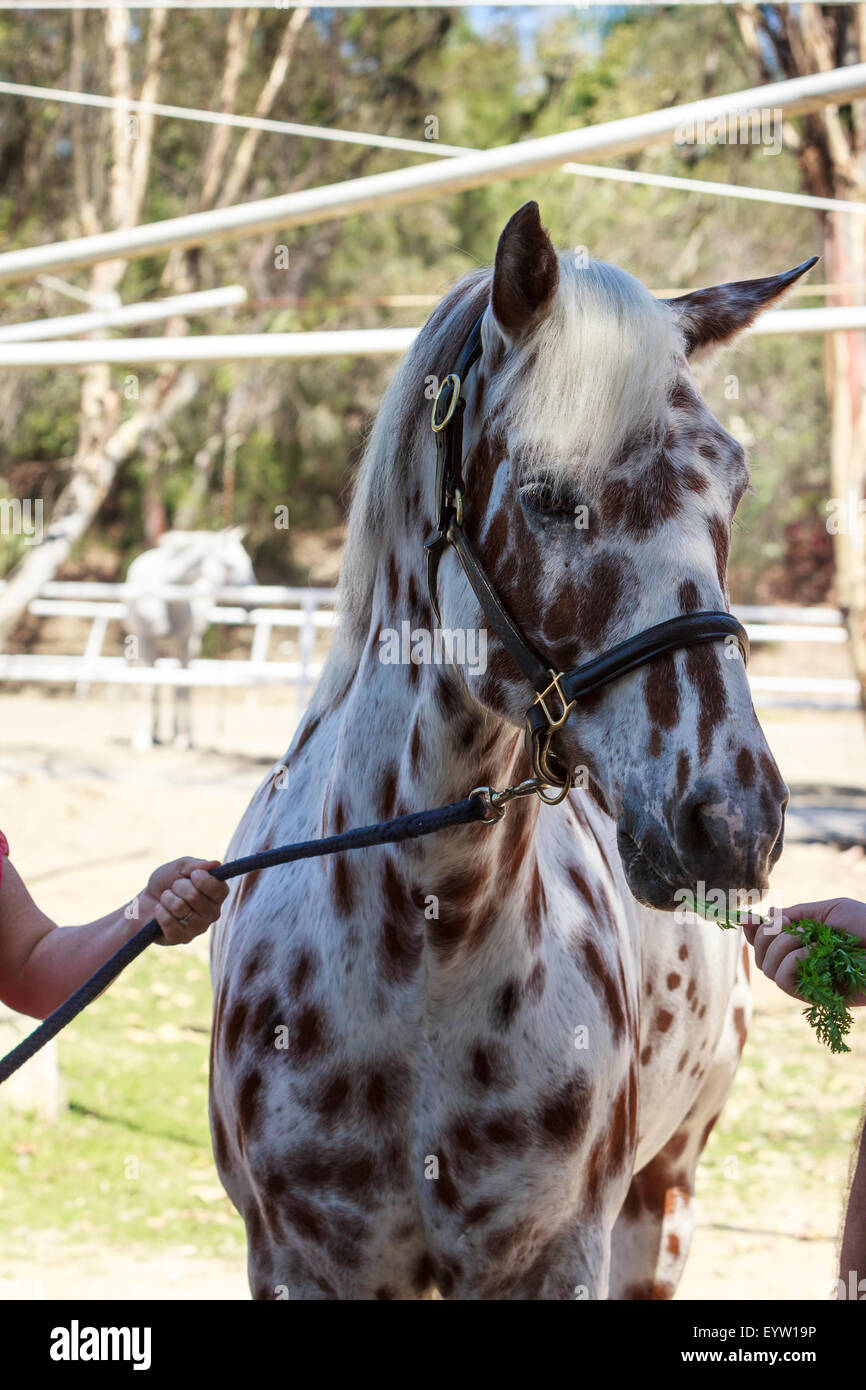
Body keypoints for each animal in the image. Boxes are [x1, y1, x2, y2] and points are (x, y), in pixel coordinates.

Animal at [124, 528, 257, 750]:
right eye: (228, 564)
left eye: (247, 559)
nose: (253, 604)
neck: (167, 593)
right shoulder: (144, 642)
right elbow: (148, 687)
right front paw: (141, 738)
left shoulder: (184, 642)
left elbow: (182, 687)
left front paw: (183, 738)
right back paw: (155, 734)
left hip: (188, 645)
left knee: (182, 686)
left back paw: (180, 734)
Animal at [211, 201, 811, 1295]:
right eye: (547, 498)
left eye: (732, 493)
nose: (735, 823)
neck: (421, 947)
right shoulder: (303, 1261)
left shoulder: (556, 1254)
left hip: (664, 1201)